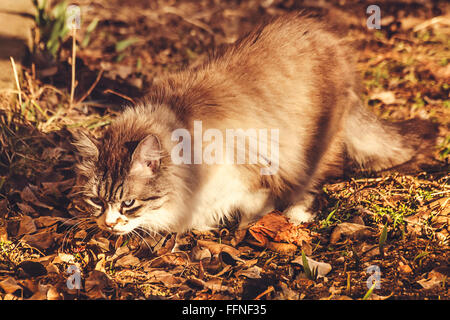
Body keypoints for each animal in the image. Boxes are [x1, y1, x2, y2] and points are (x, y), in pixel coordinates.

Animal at [72, 13, 434, 236]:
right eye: (96, 202)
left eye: (128, 203)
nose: (107, 224)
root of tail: (332, 40)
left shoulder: (253, 171)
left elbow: (253, 208)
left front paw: (244, 227)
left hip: (314, 142)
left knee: (310, 182)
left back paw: (295, 213)